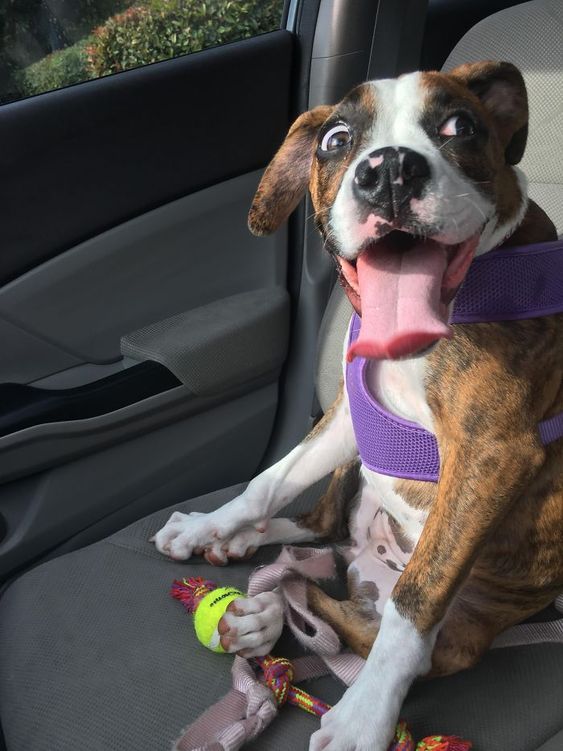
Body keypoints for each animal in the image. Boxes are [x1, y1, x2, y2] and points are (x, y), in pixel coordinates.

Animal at [152, 63, 560, 751]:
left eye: (460, 126)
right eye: (336, 140)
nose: (390, 169)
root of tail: (371, 560)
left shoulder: (492, 454)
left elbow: (415, 602)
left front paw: (366, 715)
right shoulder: (348, 417)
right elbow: (268, 482)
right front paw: (215, 524)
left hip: (466, 625)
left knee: (350, 614)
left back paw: (268, 613)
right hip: (357, 463)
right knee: (321, 532)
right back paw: (245, 562)